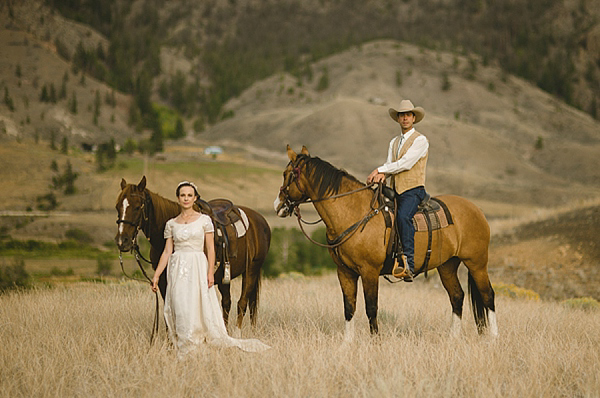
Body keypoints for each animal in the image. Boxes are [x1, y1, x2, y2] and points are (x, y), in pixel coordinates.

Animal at [113, 177, 272, 330]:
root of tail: (260, 219)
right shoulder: (164, 282)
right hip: (224, 278)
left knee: (242, 303)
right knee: (228, 303)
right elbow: (169, 314)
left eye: (137, 207)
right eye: (117, 207)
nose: (122, 241)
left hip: (251, 271)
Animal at [274, 148, 496, 340]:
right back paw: (452, 338)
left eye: (286, 174)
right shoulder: (345, 272)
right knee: (457, 296)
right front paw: (347, 343)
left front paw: (375, 342)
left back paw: (493, 338)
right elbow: (349, 307)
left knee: (488, 296)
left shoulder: (369, 271)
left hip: (476, 263)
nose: (278, 205)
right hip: (447, 265)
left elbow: (371, 308)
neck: (356, 213)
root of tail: (476, 209)